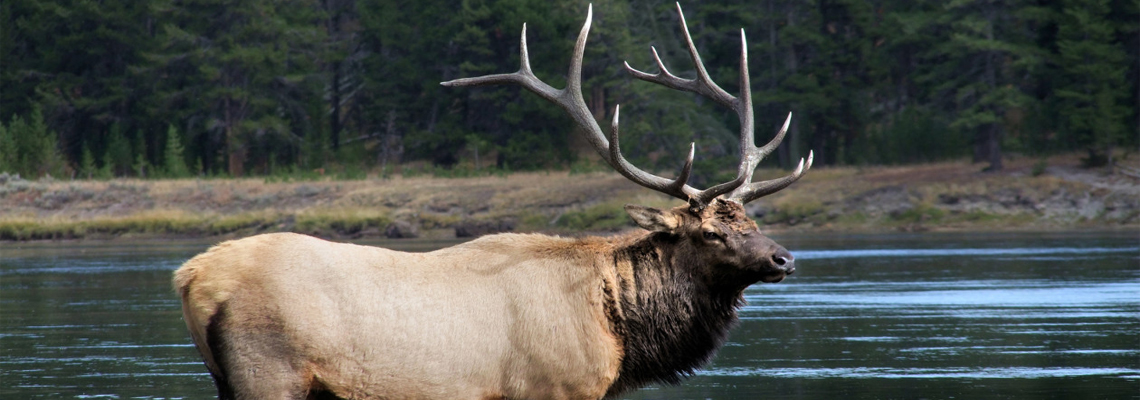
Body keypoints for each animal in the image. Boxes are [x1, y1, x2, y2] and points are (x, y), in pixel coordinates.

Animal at [173, 3, 811, 400]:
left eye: (751, 217)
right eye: (710, 232)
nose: (783, 258)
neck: (618, 328)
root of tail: (190, 274)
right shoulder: (553, 388)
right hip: (269, 372)